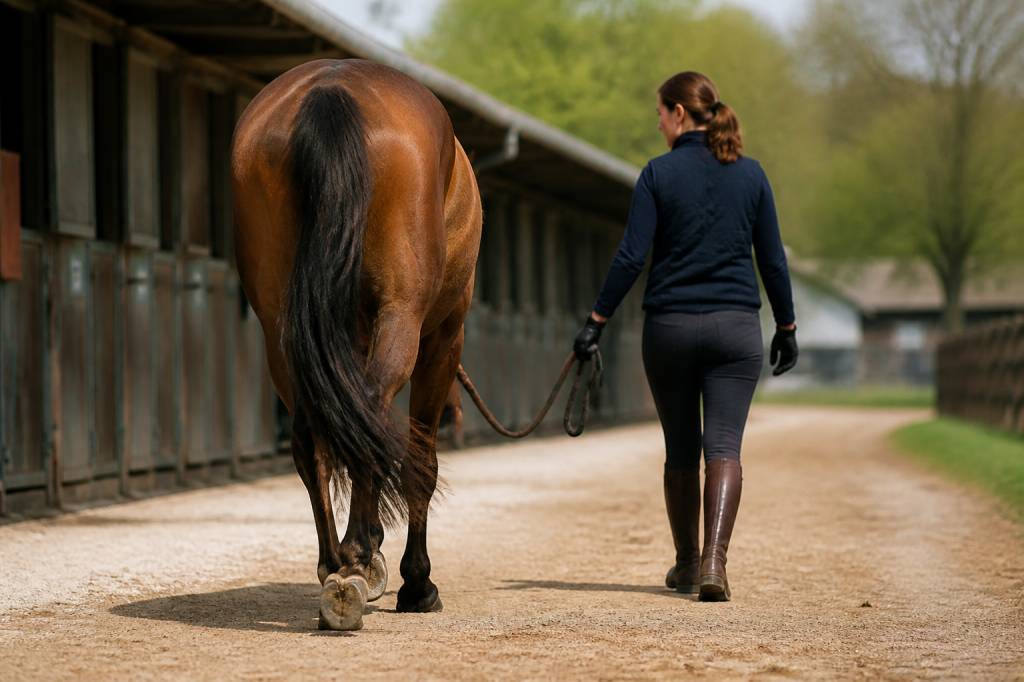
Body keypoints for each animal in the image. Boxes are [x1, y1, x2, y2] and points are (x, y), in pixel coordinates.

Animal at [231, 59, 482, 630]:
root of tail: (332, 89)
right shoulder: (442, 337)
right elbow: (419, 461)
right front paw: (414, 582)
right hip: (404, 319)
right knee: (375, 422)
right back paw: (362, 564)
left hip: (283, 332)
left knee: (314, 436)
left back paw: (336, 569)